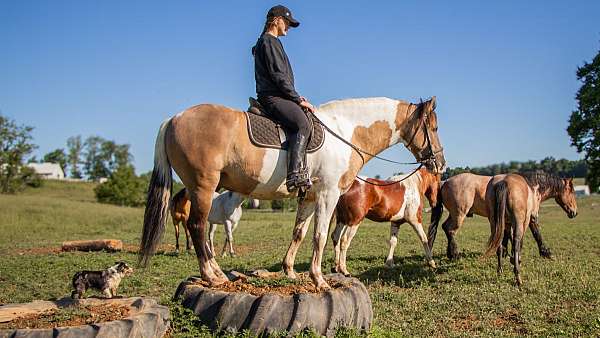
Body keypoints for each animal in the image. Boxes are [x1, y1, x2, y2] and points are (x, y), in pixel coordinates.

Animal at [139, 96, 446, 290]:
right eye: (433, 127)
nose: (441, 164)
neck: (344, 131)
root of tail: (174, 118)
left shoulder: (309, 197)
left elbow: (299, 233)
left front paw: (290, 272)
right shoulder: (327, 194)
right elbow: (320, 236)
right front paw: (319, 279)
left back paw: (216, 273)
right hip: (202, 187)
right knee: (197, 227)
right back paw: (212, 276)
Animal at [426, 172, 576, 262]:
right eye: (572, 191)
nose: (574, 212)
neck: (531, 187)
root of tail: (445, 182)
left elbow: (506, 235)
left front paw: (505, 252)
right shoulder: (531, 216)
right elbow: (537, 234)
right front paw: (546, 252)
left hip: (454, 214)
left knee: (445, 227)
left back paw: (450, 254)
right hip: (459, 214)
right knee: (450, 230)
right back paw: (455, 254)